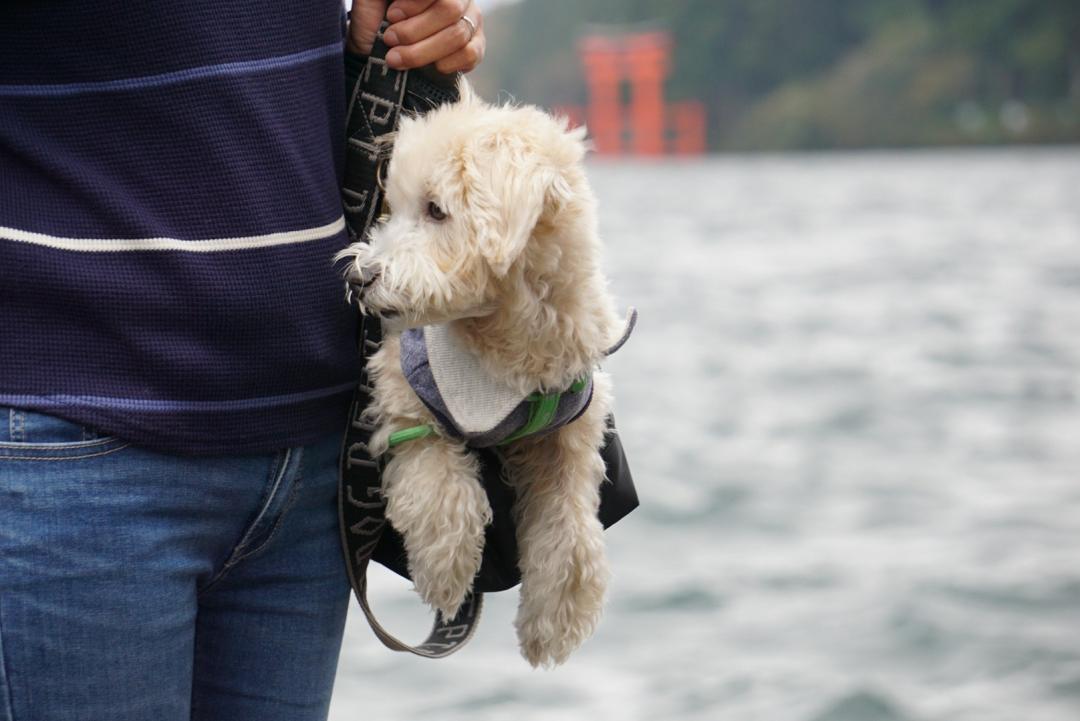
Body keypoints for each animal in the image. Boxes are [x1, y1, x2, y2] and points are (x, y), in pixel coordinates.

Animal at [334, 80, 626, 669]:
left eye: (436, 210)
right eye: (394, 208)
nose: (359, 277)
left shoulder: (568, 428)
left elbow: (572, 535)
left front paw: (551, 627)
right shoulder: (406, 388)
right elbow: (443, 487)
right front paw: (446, 574)